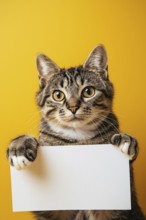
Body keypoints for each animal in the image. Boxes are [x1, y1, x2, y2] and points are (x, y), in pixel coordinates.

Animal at [6, 45, 145, 220]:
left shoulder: (122, 201)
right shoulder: (51, 210)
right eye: (58, 95)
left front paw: (126, 139)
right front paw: (19, 148)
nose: (73, 107)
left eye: (88, 91)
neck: (79, 139)